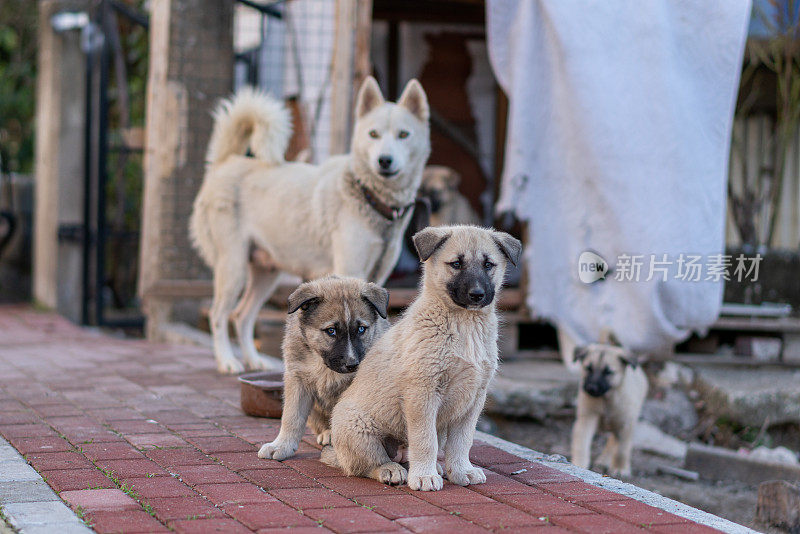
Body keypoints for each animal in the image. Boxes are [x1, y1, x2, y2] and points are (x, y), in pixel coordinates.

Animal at [190, 77, 428, 374]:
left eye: (403, 135)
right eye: (373, 134)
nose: (384, 160)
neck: (368, 195)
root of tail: (227, 161)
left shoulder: (378, 279)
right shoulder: (349, 269)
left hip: (266, 274)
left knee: (242, 316)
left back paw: (255, 360)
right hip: (233, 269)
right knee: (218, 314)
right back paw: (227, 361)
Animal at [258, 278, 390, 462]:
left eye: (361, 329)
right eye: (331, 331)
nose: (352, 364)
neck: (323, 365)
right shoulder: (297, 379)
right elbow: (291, 417)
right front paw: (281, 445)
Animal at [322, 224, 520, 492]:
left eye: (488, 264)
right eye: (456, 264)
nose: (477, 294)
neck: (464, 325)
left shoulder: (473, 398)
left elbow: (462, 441)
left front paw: (461, 471)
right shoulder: (422, 392)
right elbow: (426, 440)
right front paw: (425, 477)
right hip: (356, 426)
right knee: (366, 464)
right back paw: (392, 470)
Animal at [572, 338, 648, 480]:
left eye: (608, 372)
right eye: (588, 368)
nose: (591, 388)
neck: (606, 399)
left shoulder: (626, 423)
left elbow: (622, 449)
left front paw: (620, 468)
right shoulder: (587, 418)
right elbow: (582, 443)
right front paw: (579, 464)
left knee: (615, 441)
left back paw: (606, 460)